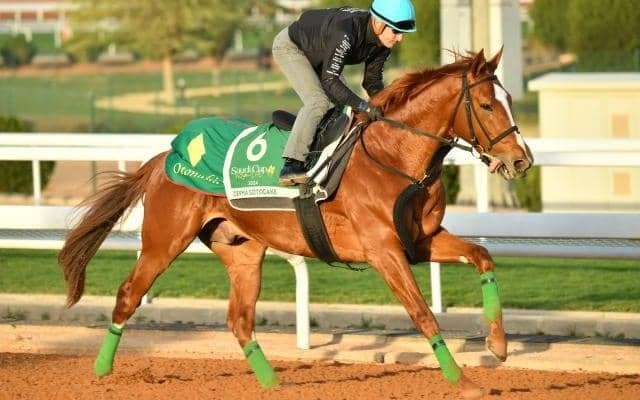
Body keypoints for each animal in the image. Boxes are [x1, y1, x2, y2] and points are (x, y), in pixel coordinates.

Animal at [59, 49, 533, 399]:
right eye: (486, 104)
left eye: (510, 101)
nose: (521, 160)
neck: (393, 155)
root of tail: (165, 157)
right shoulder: (384, 251)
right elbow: (422, 313)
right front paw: (464, 381)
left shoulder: (423, 240)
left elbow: (483, 256)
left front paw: (498, 345)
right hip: (164, 241)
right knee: (128, 295)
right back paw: (101, 372)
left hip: (242, 250)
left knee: (239, 319)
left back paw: (274, 383)